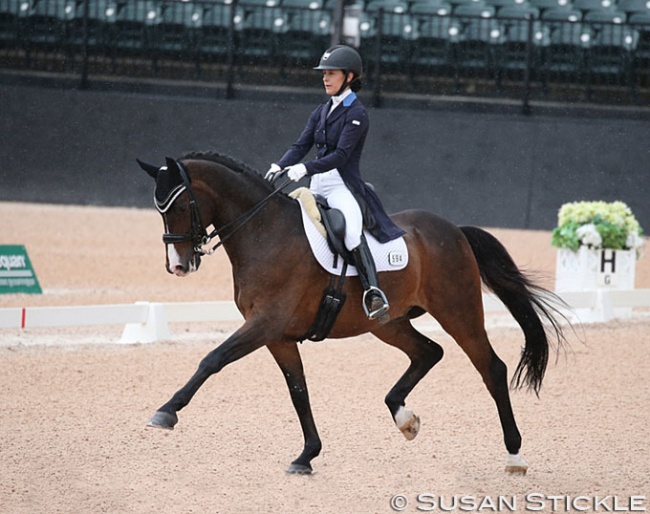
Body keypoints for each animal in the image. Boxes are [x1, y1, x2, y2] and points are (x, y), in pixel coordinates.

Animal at [137, 150, 560, 474]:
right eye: (159, 209)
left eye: (178, 205)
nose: (178, 265)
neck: (264, 231)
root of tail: (454, 230)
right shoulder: (278, 336)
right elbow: (298, 390)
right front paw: (307, 455)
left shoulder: (265, 324)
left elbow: (212, 359)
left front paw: (166, 412)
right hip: (388, 323)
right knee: (429, 352)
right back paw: (404, 418)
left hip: (459, 312)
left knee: (491, 368)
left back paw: (514, 455)